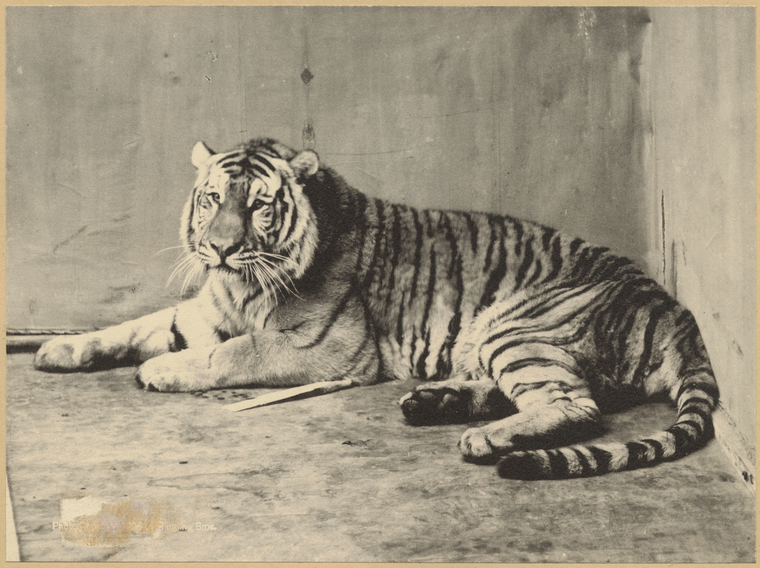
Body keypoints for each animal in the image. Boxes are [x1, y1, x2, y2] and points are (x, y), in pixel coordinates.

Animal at [34, 137, 718, 480]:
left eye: (258, 206)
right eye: (210, 200)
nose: (220, 247)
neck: (242, 284)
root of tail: (671, 307)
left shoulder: (324, 347)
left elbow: (231, 354)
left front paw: (160, 371)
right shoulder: (203, 311)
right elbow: (132, 326)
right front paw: (58, 348)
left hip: (518, 327)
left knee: (578, 404)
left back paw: (482, 438)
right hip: (495, 340)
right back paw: (433, 402)